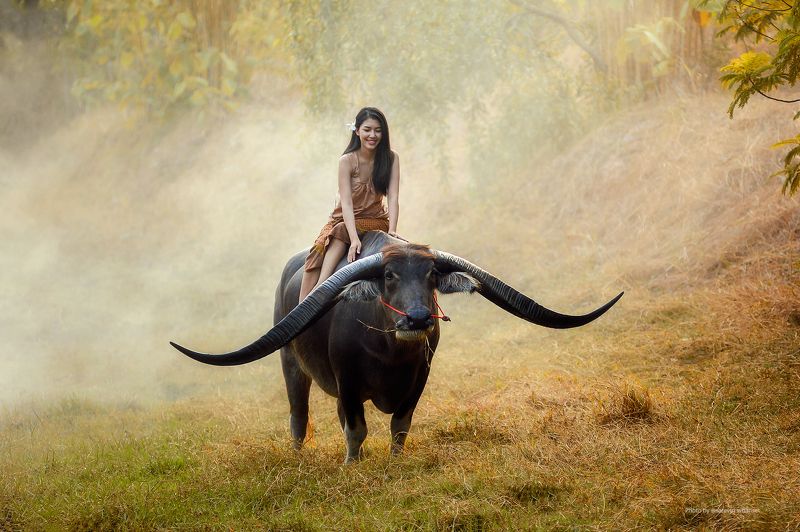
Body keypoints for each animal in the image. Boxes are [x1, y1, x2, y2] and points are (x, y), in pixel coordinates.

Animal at [171, 231, 622, 462]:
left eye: (431, 275)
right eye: (388, 276)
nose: (419, 319)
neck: (388, 353)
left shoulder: (418, 380)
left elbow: (399, 426)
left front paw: (394, 462)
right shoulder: (349, 382)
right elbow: (356, 429)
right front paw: (353, 466)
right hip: (291, 364)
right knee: (299, 418)